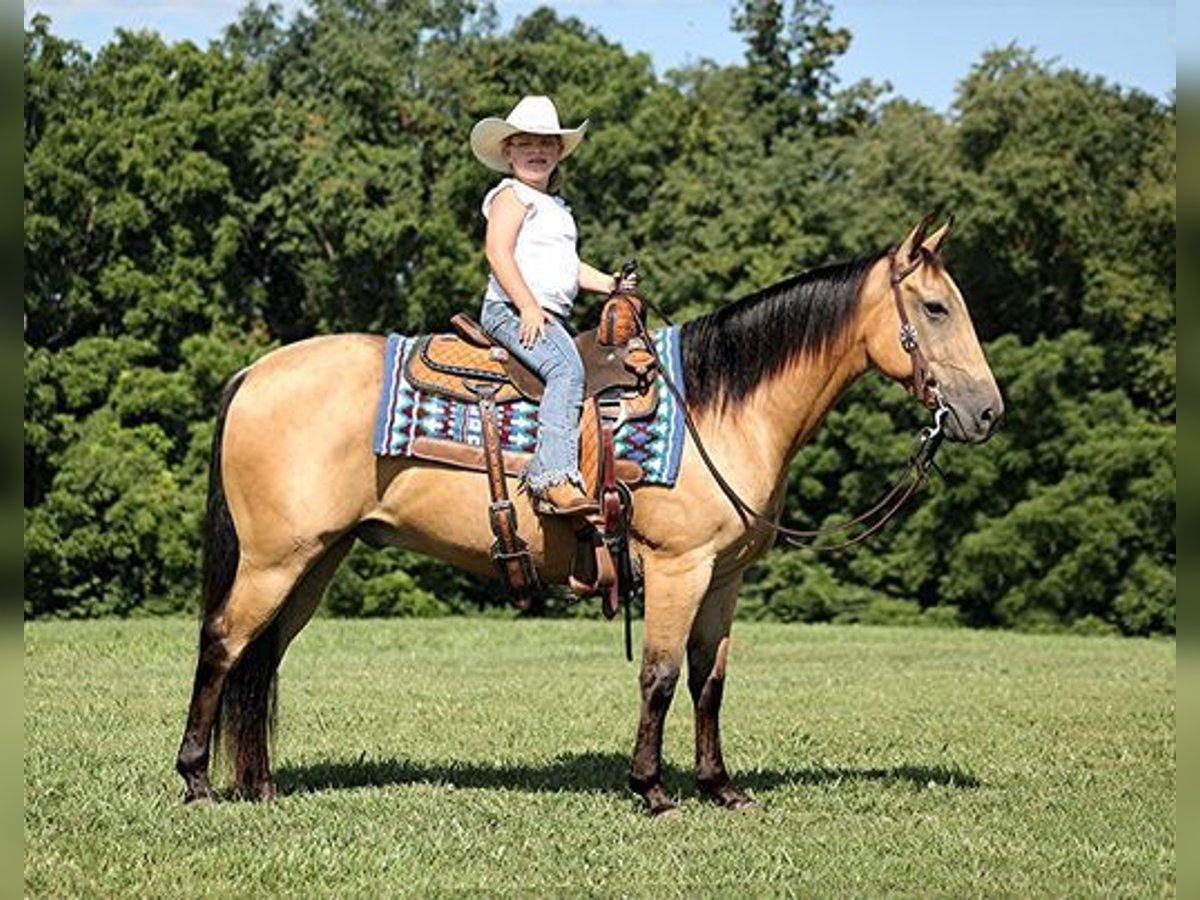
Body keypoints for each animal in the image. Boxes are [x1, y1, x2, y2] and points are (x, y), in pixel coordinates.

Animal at [174, 220, 1003, 816]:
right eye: (936, 308)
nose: (987, 411)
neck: (720, 406)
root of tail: (255, 372)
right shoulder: (676, 567)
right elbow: (660, 676)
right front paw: (653, 789)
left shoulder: (723, 579)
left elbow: (709, 682)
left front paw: (721, 787)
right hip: (275, 557)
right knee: (223, 643)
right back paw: (198, 781)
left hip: (317, 559)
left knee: (263, 656)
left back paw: (260, 784)